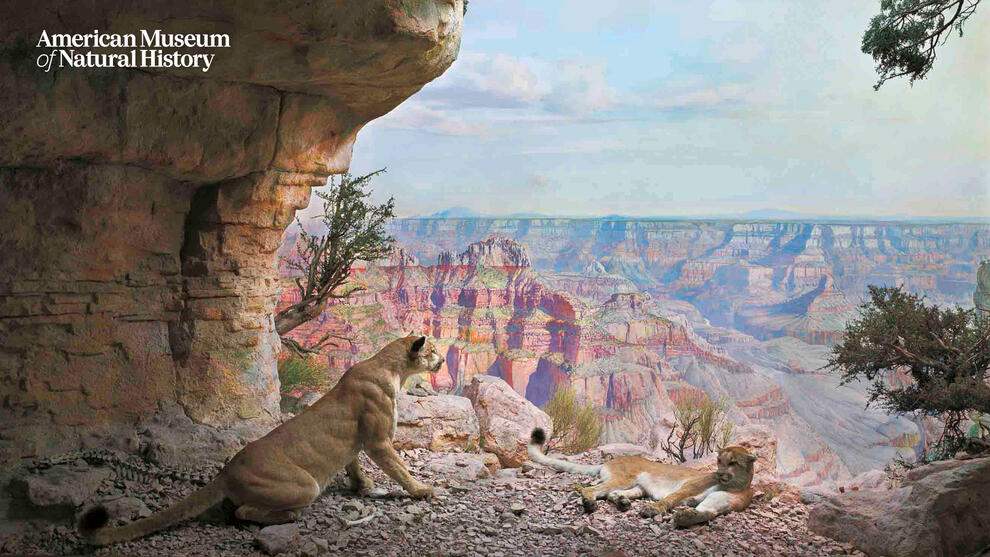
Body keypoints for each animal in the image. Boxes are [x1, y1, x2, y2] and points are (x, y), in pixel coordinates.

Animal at [79, 334, 444, 544]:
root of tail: (226, 470)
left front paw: (361, 485)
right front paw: (422, 490)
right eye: (435, 350)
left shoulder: (358, 441)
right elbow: (398, 468)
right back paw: (290, 517)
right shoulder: (379, 441)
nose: (441, 359)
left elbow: (352, 462)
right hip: (304, 485)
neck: (394, 369)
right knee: (243, 511)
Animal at [532, 426, 756, 524]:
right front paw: (653, 510)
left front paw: (687, 516)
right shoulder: (689, 486)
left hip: (637, 486)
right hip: (624, 479)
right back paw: (590, 503)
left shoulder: (720, 502)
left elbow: (707, 511)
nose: (720, 473)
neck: (733, 485)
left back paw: (622, 502)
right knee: (591, 488)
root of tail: (609, 460)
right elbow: (671, 498)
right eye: (719, 461)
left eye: (732, 462)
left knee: (609, 493)